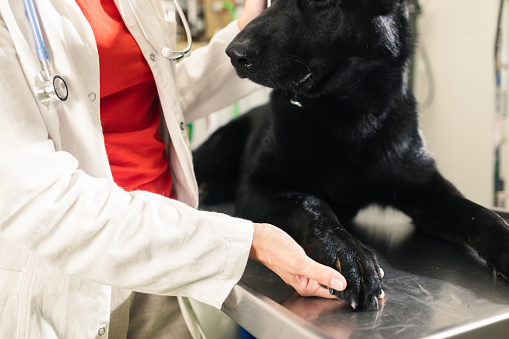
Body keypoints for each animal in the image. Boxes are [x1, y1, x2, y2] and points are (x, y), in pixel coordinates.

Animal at [192, 0, 508, 310]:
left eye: (319, 2)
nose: (233, 53)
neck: (348, 114)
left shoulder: (425, 187)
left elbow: (475, 210)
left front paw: (503, 242)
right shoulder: (254, 187)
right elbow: (310, 202)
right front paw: (345, 252)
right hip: (218, 149)